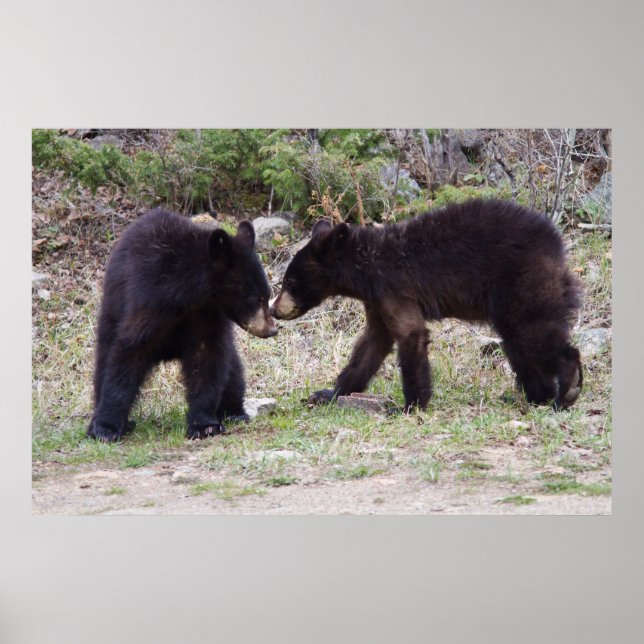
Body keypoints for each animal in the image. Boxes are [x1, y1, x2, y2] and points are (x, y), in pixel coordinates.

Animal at [87, 208, 277, 443]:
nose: (272, 329)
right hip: (112, 311)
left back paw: (234, 412)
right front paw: (105, 428)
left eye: (267, 295)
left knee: (233, 371)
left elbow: (207, 362)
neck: (190, 295)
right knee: (104, 358)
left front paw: (204, 425)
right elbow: (129, 353)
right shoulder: (150, 301)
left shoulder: (207, 318)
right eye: (254, 299)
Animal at [271, 199, 583, 412]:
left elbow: (410, 334)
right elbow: (371, 346)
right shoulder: (377, 301)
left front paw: (410, 406)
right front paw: (329, 393)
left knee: (536, 334)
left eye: (290, 281)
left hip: (524, 282)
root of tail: (557, 245)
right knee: (518, 343)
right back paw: (537, 395)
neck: (366, 267)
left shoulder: (394, 289)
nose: (274, 309)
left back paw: (566, 392)